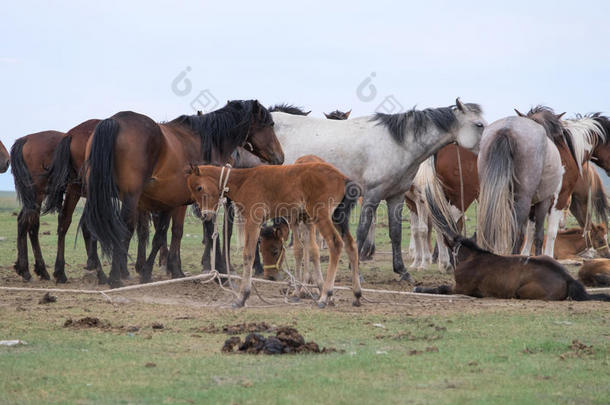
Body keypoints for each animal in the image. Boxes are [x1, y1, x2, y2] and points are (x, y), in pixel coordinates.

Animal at [81, 100, 282, 288]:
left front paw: (173, 270)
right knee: (122, 229)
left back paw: (102, 274)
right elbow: (208, 232)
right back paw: (115, 277)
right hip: (130, 198)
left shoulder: (177, 203)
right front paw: (221, 273)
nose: (280, 157)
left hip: (98, 197)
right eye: (271, 124)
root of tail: (114, 121)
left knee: (93, 227)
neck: (209, 141)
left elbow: (173, 233)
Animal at [185, 161, 360, 306]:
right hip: (337, 217)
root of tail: (342, 177)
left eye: (199, 187)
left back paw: (325, 295)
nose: (205, 215)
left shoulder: (253, 221)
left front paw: (242, 297)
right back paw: (356, 295)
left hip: (321, 216)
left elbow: (248, 254)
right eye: (192, 191)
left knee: (335, 243)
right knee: (351, 245)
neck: (243, 180)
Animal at [270, 98, 484, 280]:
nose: (487, 150)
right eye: (479, 125)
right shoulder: (371, 196)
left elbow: (396, 233)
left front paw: (402, 271)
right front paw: (356, 271)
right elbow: (362, 231)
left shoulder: (396, 197)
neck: (396, 144)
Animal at [414, 186, 608, 300]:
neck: (470, 257)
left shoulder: (460, 288)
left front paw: (419, 288)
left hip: (521, 292)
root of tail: (568, 278)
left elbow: (441, 288)